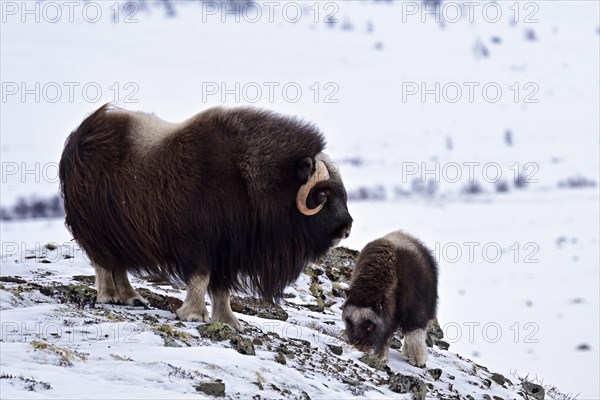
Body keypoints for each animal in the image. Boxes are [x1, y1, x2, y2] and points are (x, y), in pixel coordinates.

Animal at [59, 104, 352, 330]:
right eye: (323, 194)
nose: (346, 229)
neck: (253, 183)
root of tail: (78, 137)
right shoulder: (199, 244)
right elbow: (200, 278)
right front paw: (194, 315)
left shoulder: (228, 251)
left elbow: (221, 288)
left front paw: (230, 322)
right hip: (97, 228)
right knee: (104, 263)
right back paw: (110, 297)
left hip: (121, 234)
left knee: (118, 265)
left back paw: (133, 298)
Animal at [342, 230, 436, 368]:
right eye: (349, 322)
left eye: (369, 326)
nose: (357, 346)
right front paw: (381, 357)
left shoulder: (415, 309)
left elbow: (414, 332)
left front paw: (418, 361)